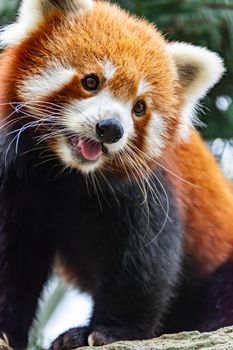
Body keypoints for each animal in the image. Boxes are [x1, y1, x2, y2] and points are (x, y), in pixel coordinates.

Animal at [0, 0, 232, 348]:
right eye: (91, 82)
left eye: (139, 107)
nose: (110, 129)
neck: (67, 173)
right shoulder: (16, 181)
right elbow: (14, 260)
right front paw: (6, 331)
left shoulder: (149, 188)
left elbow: (142, 264)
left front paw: (107, 330)